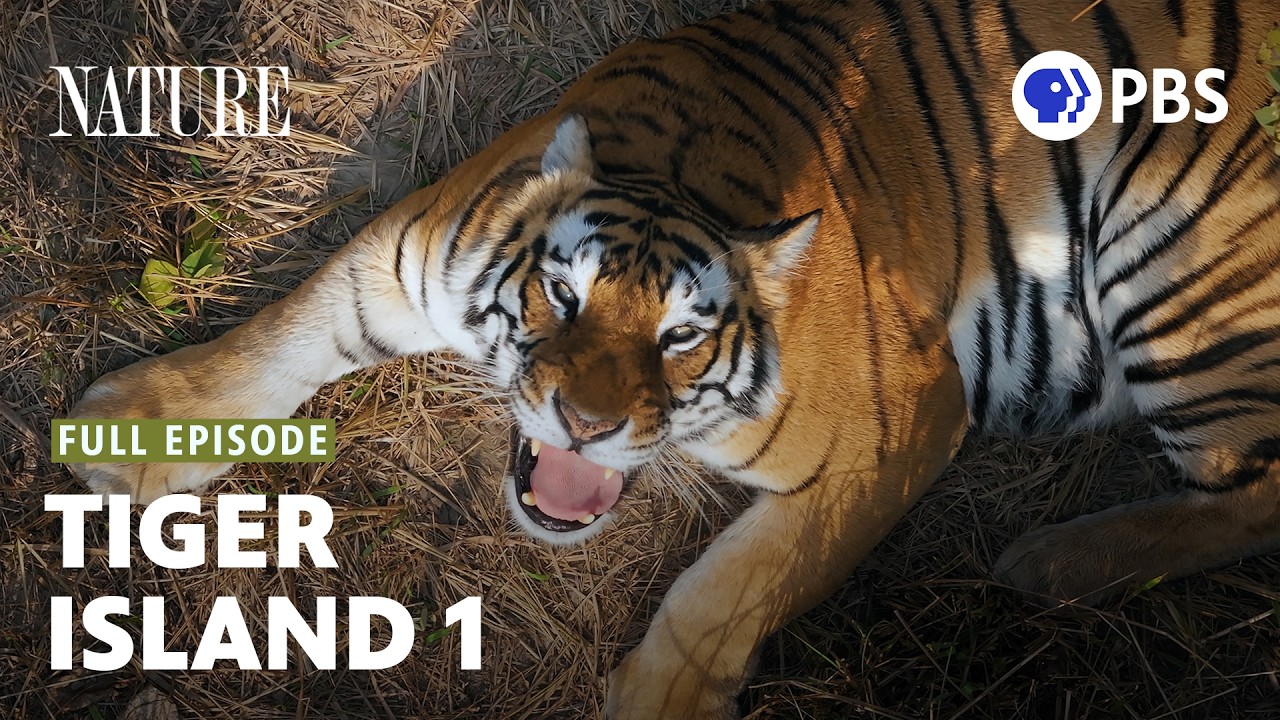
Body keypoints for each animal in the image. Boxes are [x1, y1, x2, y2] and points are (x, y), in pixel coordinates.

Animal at [67, 0, 1280, 716]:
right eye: (560, 297)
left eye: (682, 338)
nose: (588, 426)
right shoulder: (396, 261)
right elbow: (273, 340)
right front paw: (132, 428)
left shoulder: (899, 424)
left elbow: (729, 587)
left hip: (1174, 266)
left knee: (1253, 497)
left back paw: (1049, 564)